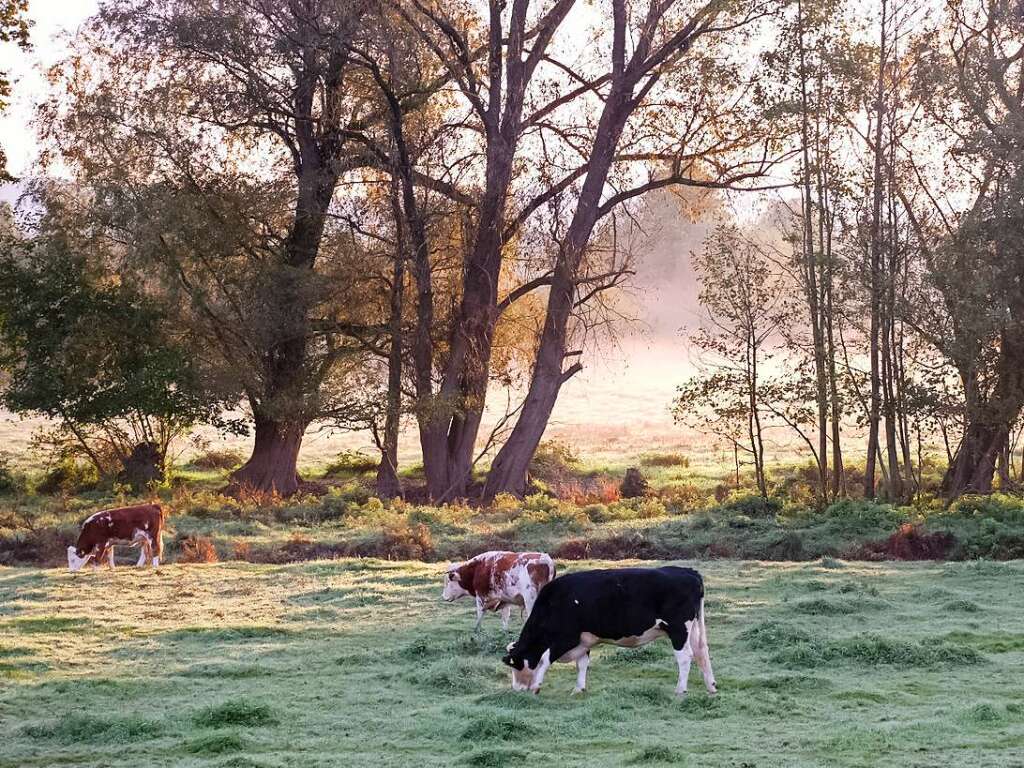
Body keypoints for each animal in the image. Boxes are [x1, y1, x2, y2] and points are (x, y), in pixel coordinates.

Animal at [499, 565, 716, 696]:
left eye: (514, 665)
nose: (515, 689)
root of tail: (688, 571)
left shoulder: (566, 638)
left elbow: (544, 659)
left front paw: (536, 686)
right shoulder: (584, 640)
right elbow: (582, 663)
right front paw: (579, 688)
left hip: (678, 629)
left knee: (685, 656)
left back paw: (680, 690)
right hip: (693, 628)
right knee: (701, 652)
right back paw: (711, 687)